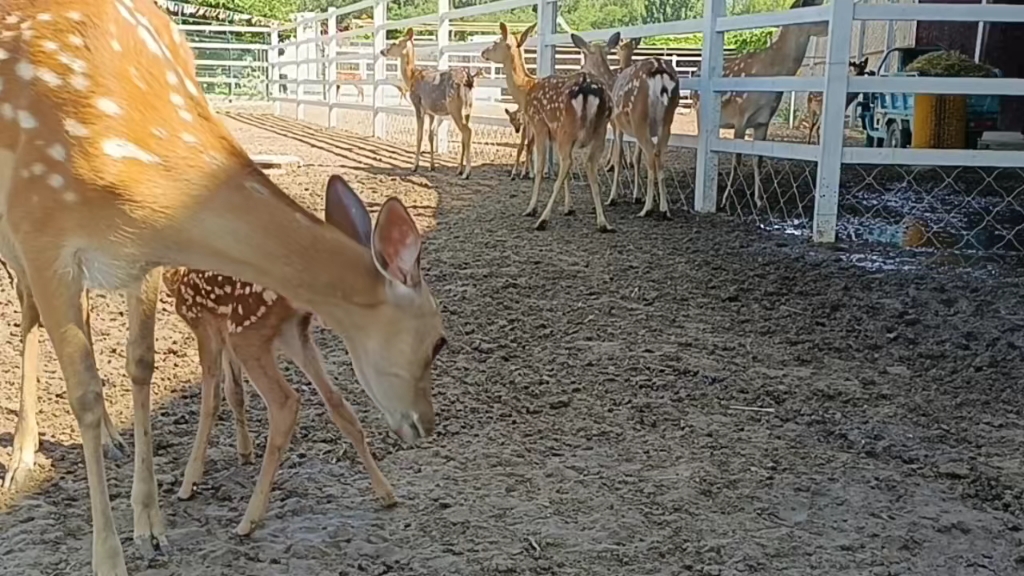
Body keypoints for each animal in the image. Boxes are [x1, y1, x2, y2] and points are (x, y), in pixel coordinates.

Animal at [166, 175, 414, 535]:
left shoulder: (204, 322)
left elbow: (211, 400)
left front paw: (190, 482)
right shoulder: (224, 328)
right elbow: (234, 391)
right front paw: (244, 452)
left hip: (251, 333)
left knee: (286, 402)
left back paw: (249, 518)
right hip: (290, 332)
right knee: (336, 400)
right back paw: (386, 493)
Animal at [380, 27, 481, 179]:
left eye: (394, 43)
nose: (382, 51)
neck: (412, 77)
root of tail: (468, 79)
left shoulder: (418, 104)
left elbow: (419, 135)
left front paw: (414, 166)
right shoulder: (432, 112)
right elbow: (430, 136)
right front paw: (431, 166)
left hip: (455, 107)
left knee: (467, 132)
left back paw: (466, 173)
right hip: (468, 108)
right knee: (464, 134)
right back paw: (459, 170)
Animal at [481, 22, 537, 181]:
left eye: (496, 41)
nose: (483, 52)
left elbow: (525, 145)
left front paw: (516, 173)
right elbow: (530, 145)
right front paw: (528, 173)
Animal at [573, 34, 681, 218]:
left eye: (584, 59)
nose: (581, 71)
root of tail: (660, 72)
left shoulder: (617, 124)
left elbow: (619, 157)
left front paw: (612, 198)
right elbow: (636, 158)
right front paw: (636, 196)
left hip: (639, 116)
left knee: (651, 155)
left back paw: (647, 209)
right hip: (667, 121)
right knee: (659, 156)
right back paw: (664, 209)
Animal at [692, 0, 828, 209]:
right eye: (815, 7)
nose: (829, 26)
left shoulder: (763, 121)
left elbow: (758, 159)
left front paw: (759, 200)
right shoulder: (740, 116)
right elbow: (738, 160)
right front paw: (726, 201)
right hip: (700, 113)